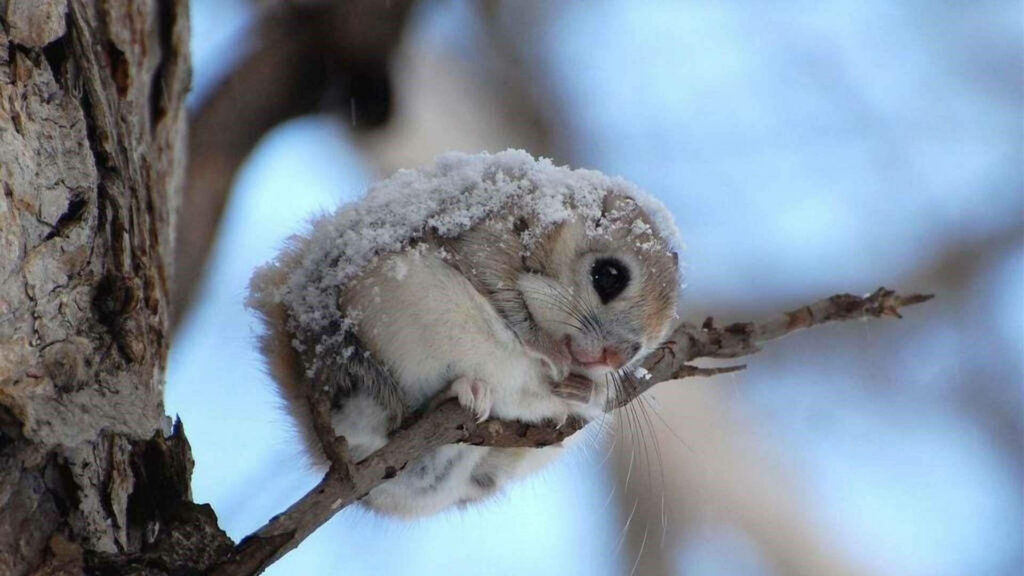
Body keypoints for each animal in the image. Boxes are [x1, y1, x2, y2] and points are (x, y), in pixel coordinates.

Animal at [248, 150, 681, 517]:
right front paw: (549, 352)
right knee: (390, 422)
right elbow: (506, 298)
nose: (616, 357)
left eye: (648, 343)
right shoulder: (485, 239)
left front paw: (588, 389)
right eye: (608, 275)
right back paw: (457, 392)